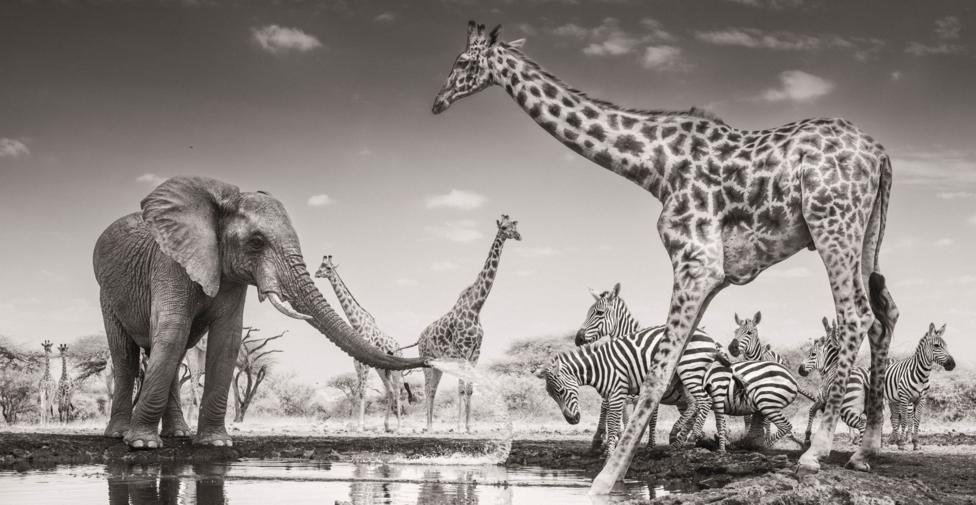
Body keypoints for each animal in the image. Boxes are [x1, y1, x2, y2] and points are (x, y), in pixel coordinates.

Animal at [315, 255, 413, 432]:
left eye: (328, 268)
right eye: (321, 265)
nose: (316, 273)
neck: (358, 325)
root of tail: (399, 347)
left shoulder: (365, 364)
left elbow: (362, 391)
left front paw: (361, 425)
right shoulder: (356, 362)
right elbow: (358, 391)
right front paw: (357, 424)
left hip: (395, 370)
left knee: (397, 390)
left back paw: (398, 426)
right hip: (382, 369)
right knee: (389, 390)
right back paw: (386, 425)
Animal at [415, 214, 521, 432]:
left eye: (515, 225)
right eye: (504, 227)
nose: (518, 235)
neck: (476, 308)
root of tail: (420, 337)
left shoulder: (475, 353)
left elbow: (470, 388)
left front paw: (469, 426)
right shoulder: (463, 352)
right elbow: (462, 388)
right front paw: (458, 426)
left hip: (438, 364)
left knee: (433, 389)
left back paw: (431, 425)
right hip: (426, 360)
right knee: (428, 389)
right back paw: (428, 427)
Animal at [575, 283, 717, 450]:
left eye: (599, 312)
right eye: (588, 312)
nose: (578, 338)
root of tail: (711, 339)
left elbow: (637, 415)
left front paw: (627, 439)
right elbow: (610, 406)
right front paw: (604, 438)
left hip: (690, 372)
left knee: (704, 402)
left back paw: (690, 437)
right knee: (695, 408)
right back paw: (683, 439)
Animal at [798, 317, 870, 446]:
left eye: (813, 354)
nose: (800, 370)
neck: (832, 365)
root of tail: (864, 376)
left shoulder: (821, 398)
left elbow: (811, 410)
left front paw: (807, 438)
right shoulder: (827, 403)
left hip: (848, 408)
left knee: (862, 424)